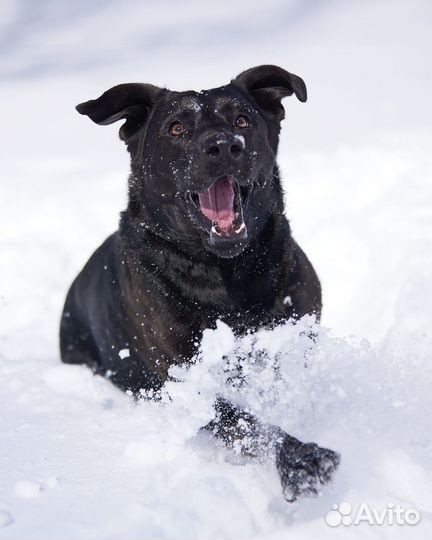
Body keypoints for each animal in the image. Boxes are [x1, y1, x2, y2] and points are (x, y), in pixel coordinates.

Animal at [60, 65, 340, 500]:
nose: (224, 146)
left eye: (242, 120)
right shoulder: (185, 380)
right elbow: (244, 421)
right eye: (176, 128)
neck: (226, 277)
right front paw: (300, 459)